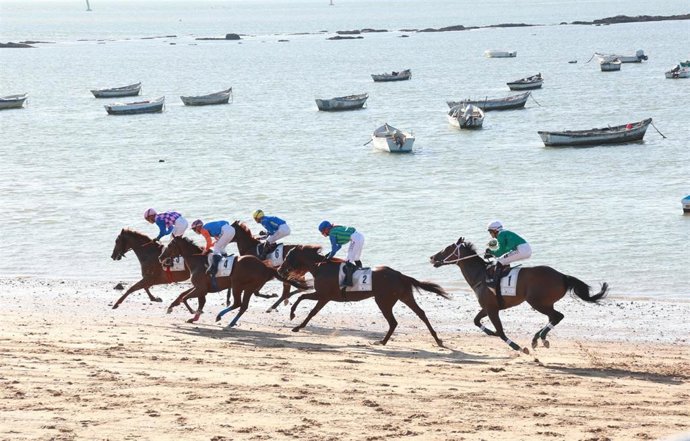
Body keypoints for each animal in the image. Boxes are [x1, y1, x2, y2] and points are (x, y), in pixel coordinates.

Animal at [159, 236, 308, 326]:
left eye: (170, 245)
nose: (160, 257)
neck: (198, 261)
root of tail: (265, 266)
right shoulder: (201, 288)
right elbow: (183, 296)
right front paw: (172, 308)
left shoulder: (201, 288)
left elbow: (186, 298)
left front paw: (193, 313)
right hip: (247, 288)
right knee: (243, 305)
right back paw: (230, 321)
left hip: (238, 285)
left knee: (238, 303)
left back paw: (221, 317)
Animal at [277, 245, 451, 347]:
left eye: (288, 256)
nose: (279, 269)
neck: (320, 267)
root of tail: (400, 275)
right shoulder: (324, 296)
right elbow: (308, 306)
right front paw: (296, 323)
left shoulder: (323, 295)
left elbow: (305, 303)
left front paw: (294, 319)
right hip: (404, 296)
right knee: (421, 314)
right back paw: (438, 340)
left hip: (383, 301)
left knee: (393, 322)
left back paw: (382, 341)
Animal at [429, 237, 608, 354]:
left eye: (447, 249)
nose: (432, 257)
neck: (481, 275)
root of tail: (562, 276)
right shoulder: (488, 307)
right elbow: (476, 321)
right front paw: (491, 333)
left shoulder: (492, 309)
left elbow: (501, 332)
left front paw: (518, 347)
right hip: (544, 303)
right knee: (554, 317)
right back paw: (537, 338)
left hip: (537, 302)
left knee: (557, 316)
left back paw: (540, 338)